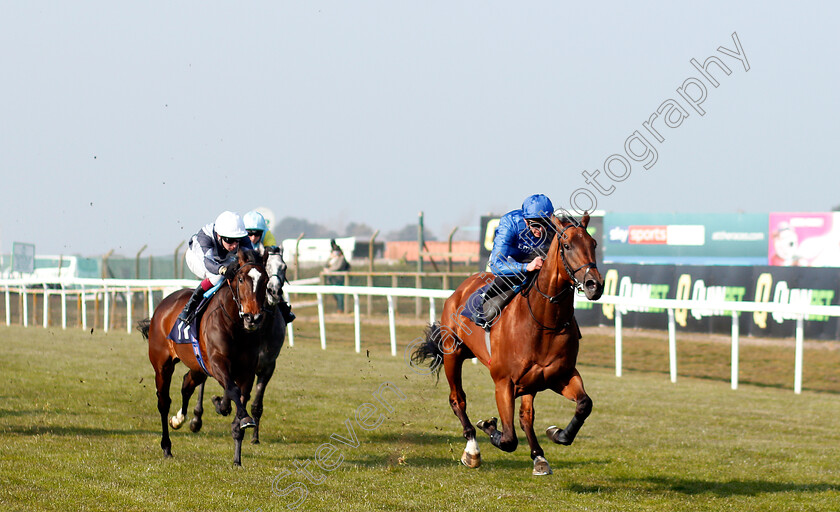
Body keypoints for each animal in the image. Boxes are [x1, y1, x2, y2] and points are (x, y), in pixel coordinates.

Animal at [138, 249, 268, 468]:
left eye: (265, 280)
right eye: (241, 279)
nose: (254, 318)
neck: (234, 325)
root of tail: (163, 305)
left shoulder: (247, 371)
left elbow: (240, 399)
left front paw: (237, 458)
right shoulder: (217, 364)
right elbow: (232, 390)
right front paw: (243, 417)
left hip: (197, 367)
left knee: (186, 385)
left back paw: (179, 419)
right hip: (163, 365)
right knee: (164, 402)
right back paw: (166, 446)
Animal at [185, 245, 288, 444]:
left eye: (284, 267)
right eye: (268, 267)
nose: (274, 291)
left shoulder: (266, 366)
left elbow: (254, 402)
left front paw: (254, 436)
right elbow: (230, 388)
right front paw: (221, 405)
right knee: (201, 381)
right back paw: (196, 419)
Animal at [410, 213, 600, 476]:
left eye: (593, 244)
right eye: (567, 245)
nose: (595, 285)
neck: (543, 321)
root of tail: (459, 290)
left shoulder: (560, 375)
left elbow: (584, 404)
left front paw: (558, 434)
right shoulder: (503, 382)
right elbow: (509, 439)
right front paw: (488, 425)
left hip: (529, 382)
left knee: (526, 416)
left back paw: (538, 456)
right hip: (453, 355)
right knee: (458, 399)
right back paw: (472, 449)